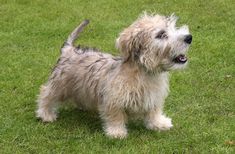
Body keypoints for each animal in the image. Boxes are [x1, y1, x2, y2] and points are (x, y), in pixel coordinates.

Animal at [35, 13, 192, 138]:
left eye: (173, 27)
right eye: (161, 34)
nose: (189, 37)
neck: (144, 73)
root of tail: (69, 50)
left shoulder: (153, 97)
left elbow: (154, 111)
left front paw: (158, 123)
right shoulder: (113, 100)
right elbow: (115, 116)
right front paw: (116, 132)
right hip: (59, 86)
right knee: (45, 94)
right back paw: (45, 114)